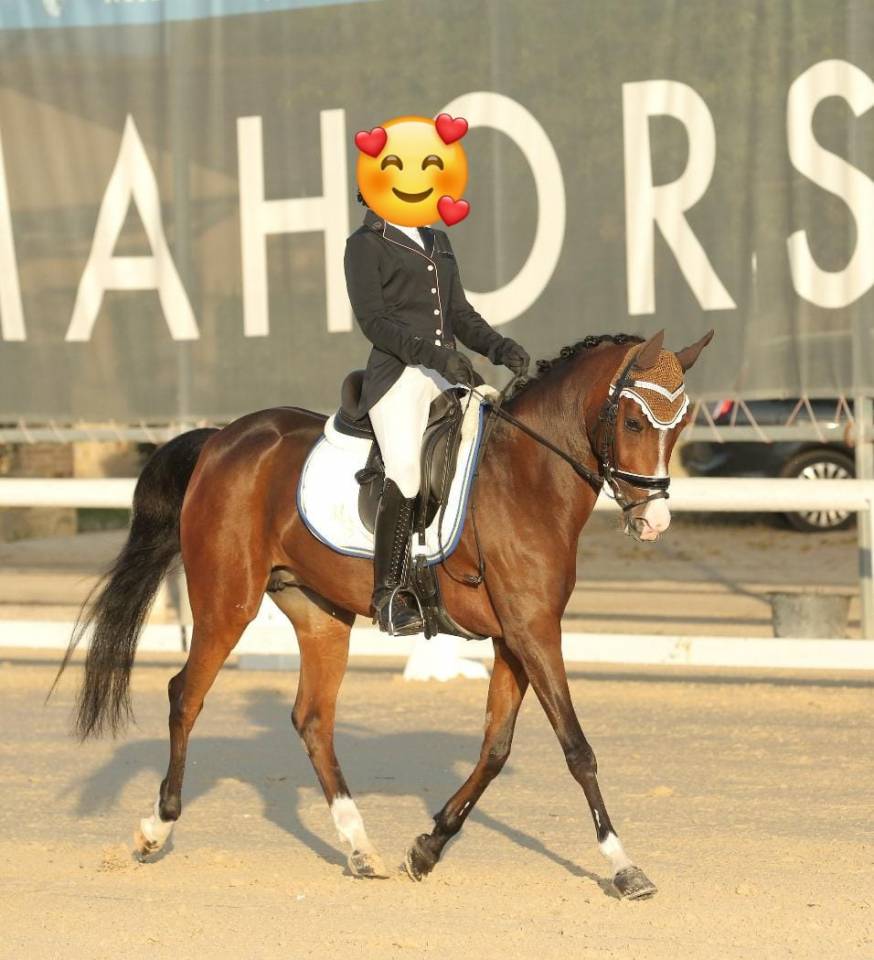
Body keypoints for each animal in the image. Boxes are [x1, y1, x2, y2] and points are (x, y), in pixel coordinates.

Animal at [55, 327, 712, 900]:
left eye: (679, 424)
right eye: (633, 421)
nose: (654, 521)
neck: (527, 476)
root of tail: (223, 438)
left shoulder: (516, 637)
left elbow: (495, 750)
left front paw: (427, 847)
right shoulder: (533, 632)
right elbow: (577, 748)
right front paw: (624, 867)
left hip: (319, 614)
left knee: (312, 719)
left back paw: (360, 848)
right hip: (226, 602)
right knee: (185, 695)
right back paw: (155, 829)